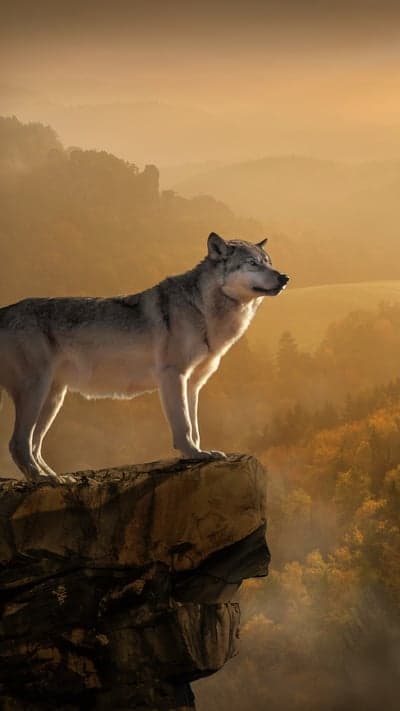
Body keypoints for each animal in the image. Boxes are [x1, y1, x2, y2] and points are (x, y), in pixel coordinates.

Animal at [0, 233, 289, 482]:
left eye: (269, 262)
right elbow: (184, 425)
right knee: (18, 443)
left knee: (34, 445)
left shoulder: (193, 384)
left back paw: (55, 477)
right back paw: (44, 480)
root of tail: (5, 311)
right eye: (252, 263)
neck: (203, 310)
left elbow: (195, 427)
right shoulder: (173, 376)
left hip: (53, 399)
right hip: (37, 391)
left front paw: (199, 452)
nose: (285, 277)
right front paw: (193, 454)